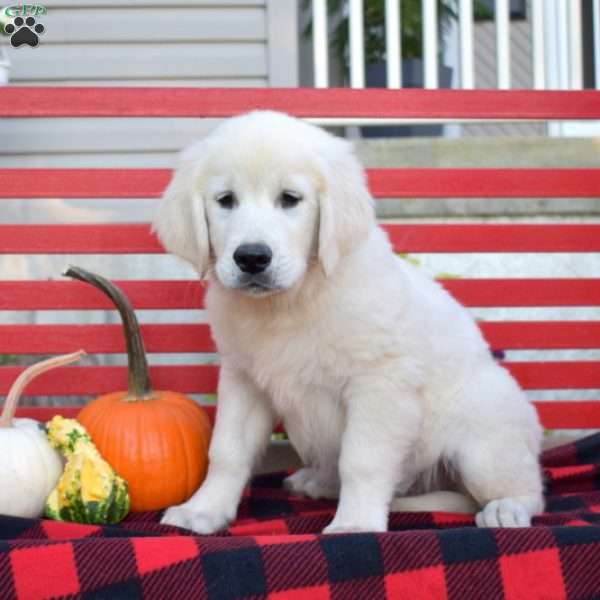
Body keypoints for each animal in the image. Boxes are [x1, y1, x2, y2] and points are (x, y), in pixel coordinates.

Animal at [151, 110, 544, 532]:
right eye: (226, 200)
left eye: (290, 199)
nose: (252, 257)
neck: (290, 302)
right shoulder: (244, 379)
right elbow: (227, 451)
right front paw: (203, 510)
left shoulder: (379, 381)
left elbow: (361, 460)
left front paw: (355, 524)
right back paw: (318, 482)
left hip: (483, 440)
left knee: (529, 490)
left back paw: (506, 507)